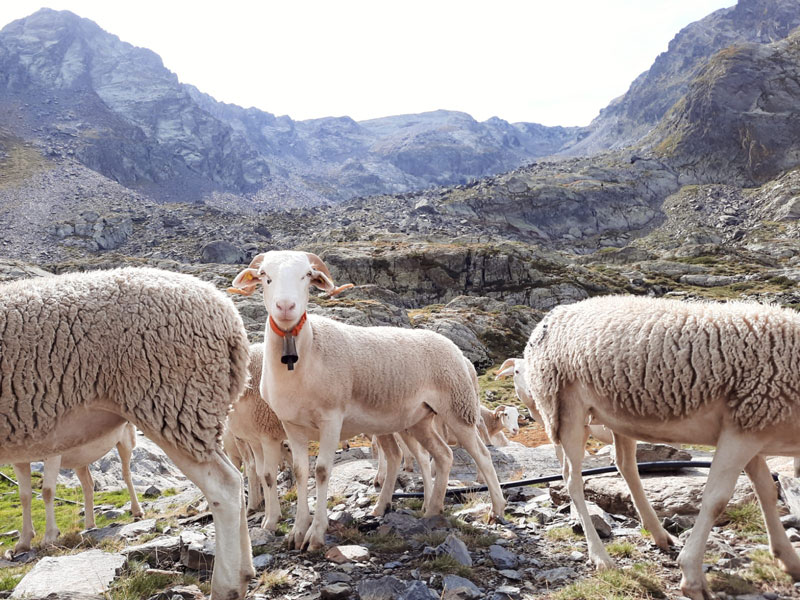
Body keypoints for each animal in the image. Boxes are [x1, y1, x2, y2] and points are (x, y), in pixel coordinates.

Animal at [11, 422, 143, 552]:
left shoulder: (52, 453)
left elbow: (47, 491)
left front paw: (49, 538)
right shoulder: (19, 460)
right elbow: (24, 497)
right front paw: (22, 544)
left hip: (125, 438)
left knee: (126, 474)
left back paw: (137, 512)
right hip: (80, 459)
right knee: (88, 484)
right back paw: (90, 525)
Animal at [231, 251, 506, 552]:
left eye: (307, 275)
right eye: (265, 276)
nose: (285, 306)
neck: (304, 352)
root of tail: (453, 347)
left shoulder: (330, 419)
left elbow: (322, 472)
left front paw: (315, 534)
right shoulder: (291, 425)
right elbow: (302, 472)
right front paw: (297, 531)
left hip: (458, 408)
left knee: (482, 455)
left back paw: (497, 509)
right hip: (418, 420)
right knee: (442, 455)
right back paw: (430, 509)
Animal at [520, 296, 800, 600]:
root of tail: (553, 314)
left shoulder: (751, 427)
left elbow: (766, 491)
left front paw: (788, 558)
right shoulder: (741, 432)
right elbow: (717, 500)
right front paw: (692, 577)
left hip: (617, 415)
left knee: (624, 465)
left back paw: (657, 533)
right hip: (565, 408)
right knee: (573, 480)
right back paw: (601, 557)